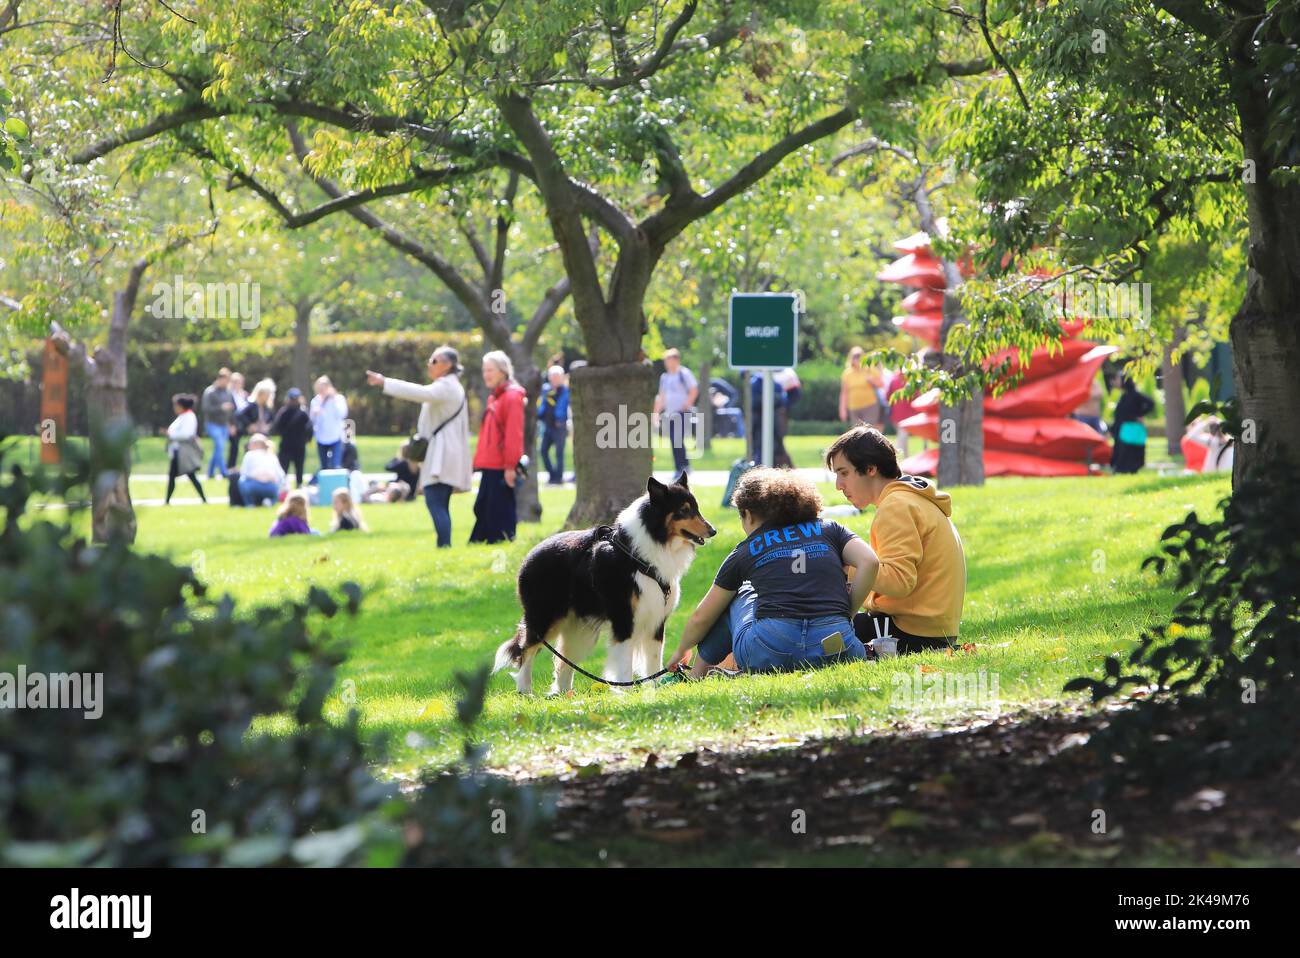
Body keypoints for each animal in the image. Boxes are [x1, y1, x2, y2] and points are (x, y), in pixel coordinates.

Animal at [491, 473, 717, 691]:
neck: (639, 555)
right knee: (526, 652)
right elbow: (624, 663)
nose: (713, 531)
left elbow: (653, 662)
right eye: (683, 510)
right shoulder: (624, 619)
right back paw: (525, 690)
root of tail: (528, 557)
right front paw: (626, 693)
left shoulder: (656, 620)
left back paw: (565, 695)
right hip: (544, 619)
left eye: (696, 508)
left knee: (563, 661)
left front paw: (654, 690)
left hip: (579, 628)